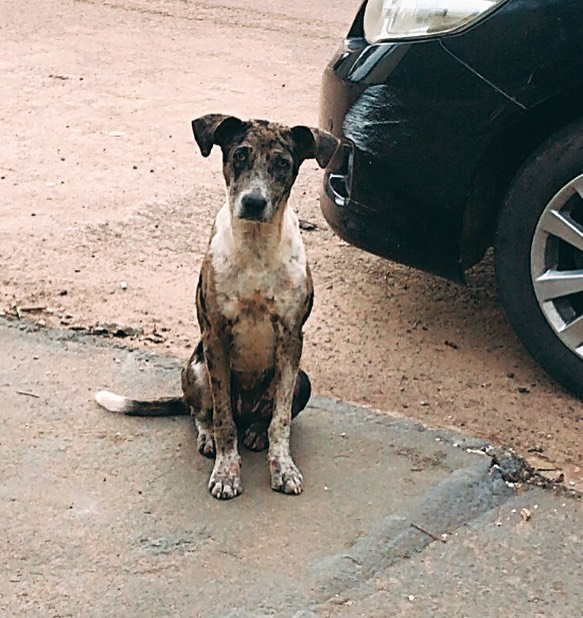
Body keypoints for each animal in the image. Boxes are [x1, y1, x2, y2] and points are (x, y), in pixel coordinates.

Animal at [95, 114, 340, 500]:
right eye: (239, 155)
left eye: (282, 163)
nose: (253, 202)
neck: (255, 248)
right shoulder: (216, 337)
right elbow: (222, 418)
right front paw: (226, 471)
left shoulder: (291, 338)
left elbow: (281, 420)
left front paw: (283, 467)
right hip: (196, 370)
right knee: (203, 412)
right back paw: (210, 436)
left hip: (302, 379)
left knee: (263, 416)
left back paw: (255, 431)